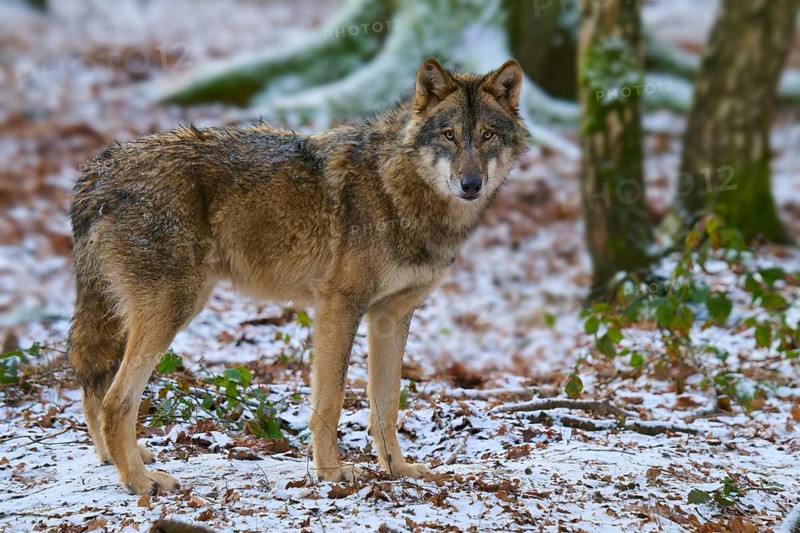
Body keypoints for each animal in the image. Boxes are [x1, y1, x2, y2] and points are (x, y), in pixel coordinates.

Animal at [67, 59, 530, 495]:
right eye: (449, 135)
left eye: (487, 135)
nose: (471, 184)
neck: (397, 189)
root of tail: (100, 170)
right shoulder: (339, 306)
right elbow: (332, 399)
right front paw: (331, 472)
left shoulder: (390, 317)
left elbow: (386, 404)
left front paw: (397, 469)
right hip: (174, 308)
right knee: (116, 401)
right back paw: (140, 481)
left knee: (94, 385)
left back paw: (115, 459)